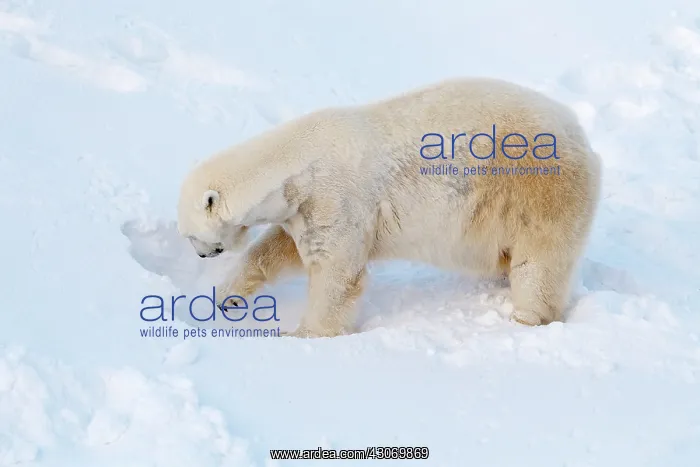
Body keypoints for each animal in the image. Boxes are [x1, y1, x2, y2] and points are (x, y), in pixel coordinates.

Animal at [177, 77, 602, 338]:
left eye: (190, 234)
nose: (200, 255)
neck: (295, 165)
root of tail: (582, 136)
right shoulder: (304, 209)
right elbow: (280, 249)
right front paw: (224, 298)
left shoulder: (336, 197)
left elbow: (337, 272)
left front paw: (303, 334)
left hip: (540, 190)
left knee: (539, 263)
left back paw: (524, 318)